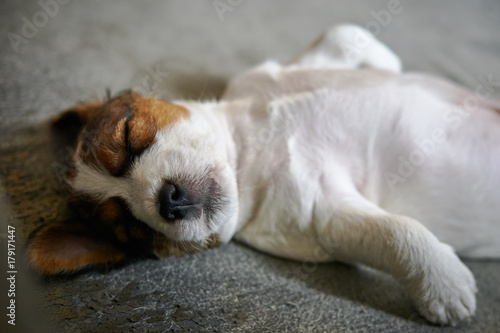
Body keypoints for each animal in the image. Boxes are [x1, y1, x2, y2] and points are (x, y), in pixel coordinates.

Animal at [28, 25, 500, 324]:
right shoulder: (330, 216)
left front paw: (391, 69)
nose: (169, 199)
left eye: (128, 137)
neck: (245, 158)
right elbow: (395, 233)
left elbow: (346, 34)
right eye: (133, 231)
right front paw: (442, 284)